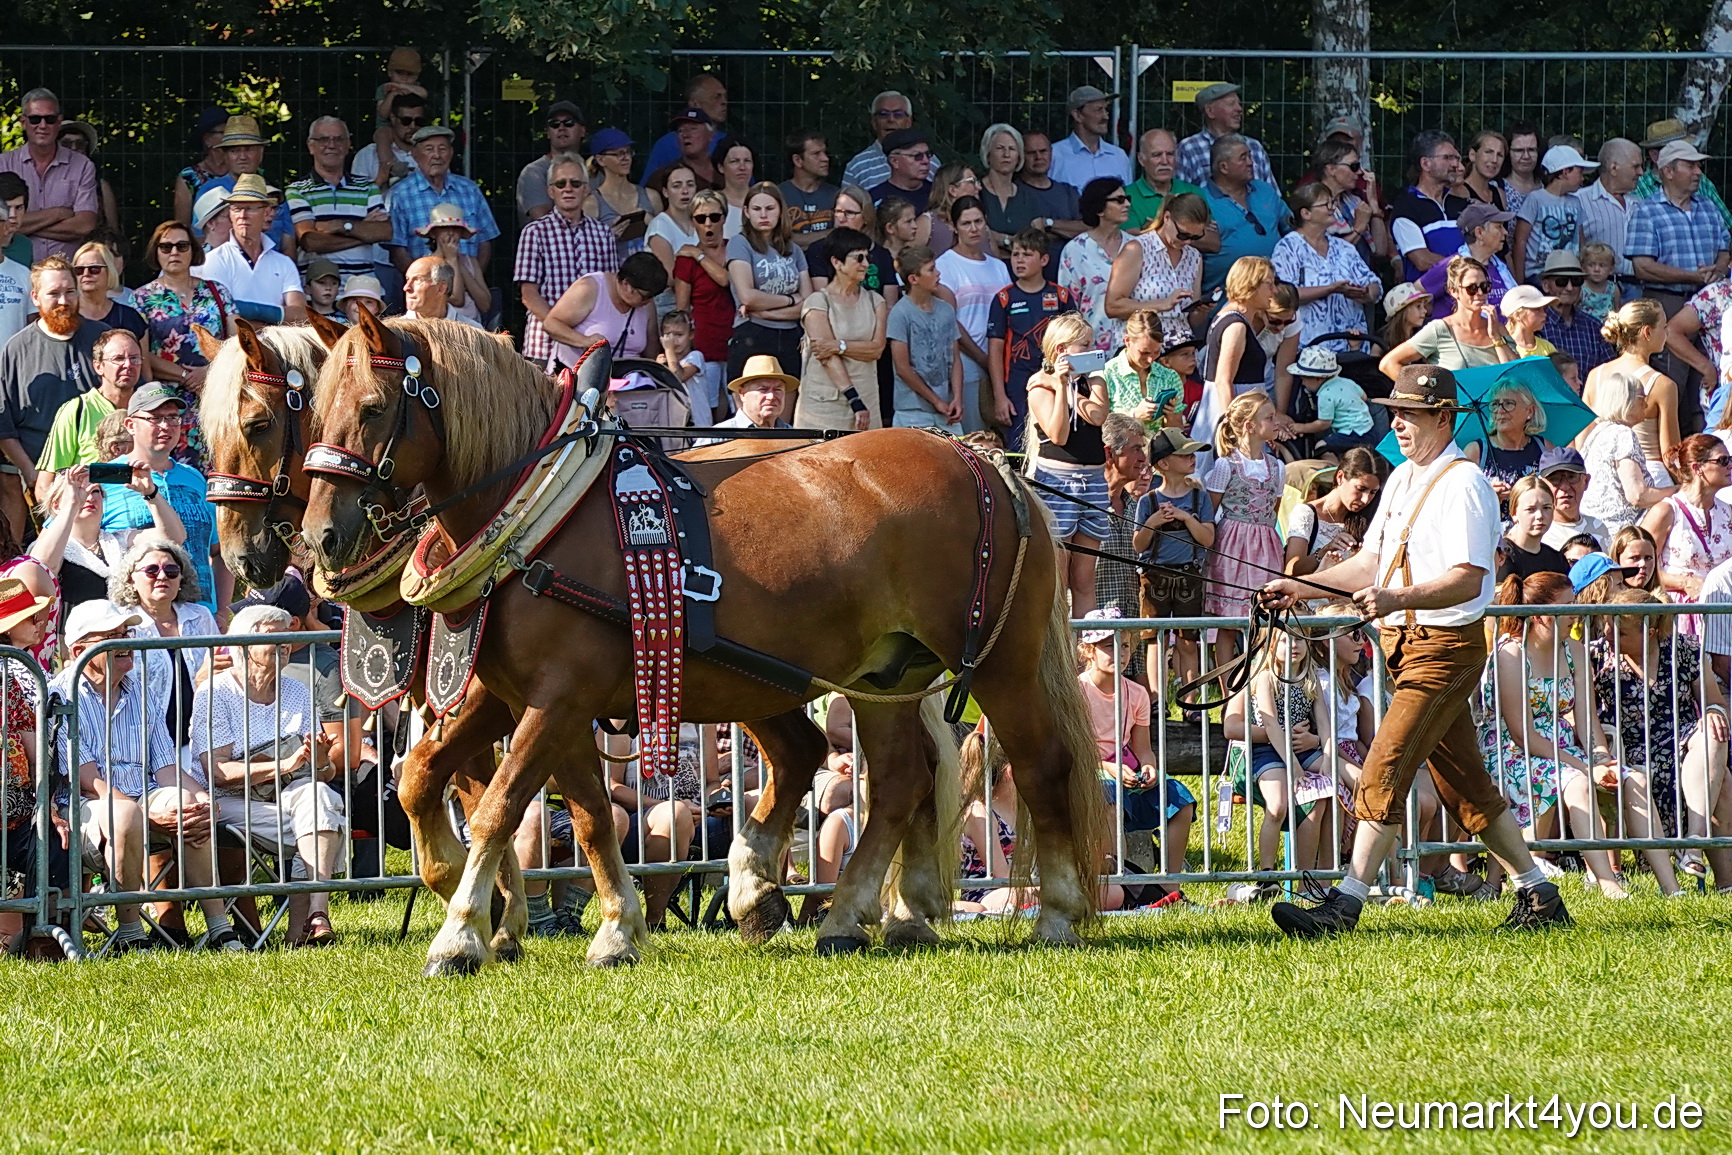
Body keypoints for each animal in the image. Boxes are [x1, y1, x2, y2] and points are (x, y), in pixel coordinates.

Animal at [300, 310, 1106, 975]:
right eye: (316, 409)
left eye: (372, 409)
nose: (320, 535)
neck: (539, 518)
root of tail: (984, 462)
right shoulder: (531, 698)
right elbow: (511, 796)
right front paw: (600, 923)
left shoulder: (558, 695)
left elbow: (498, 803)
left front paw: (462, 930)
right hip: (882, 676)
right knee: (898, 776)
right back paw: (848, 913)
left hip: (1001, 663)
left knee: (1040, 764)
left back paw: (1057, 912)